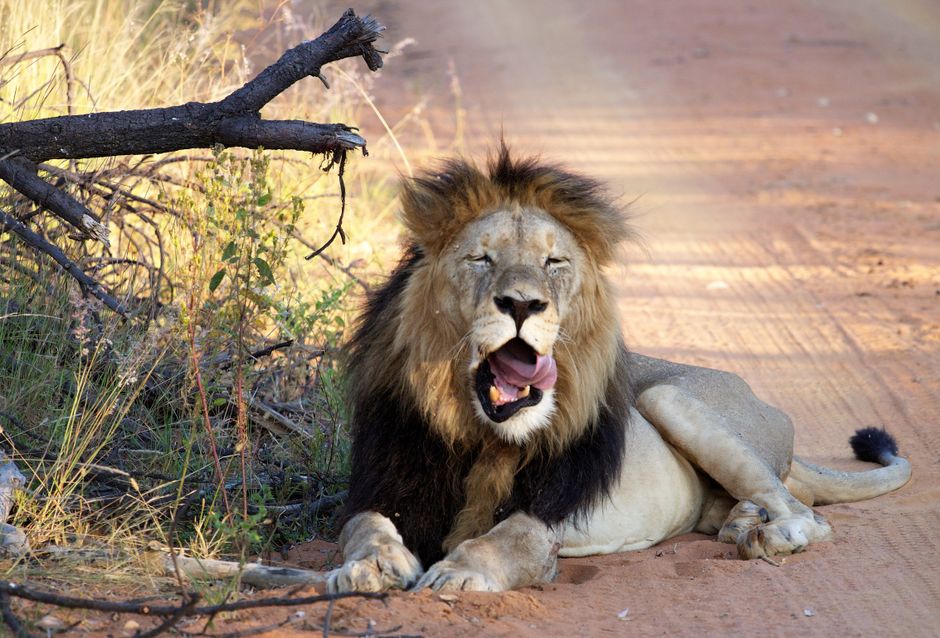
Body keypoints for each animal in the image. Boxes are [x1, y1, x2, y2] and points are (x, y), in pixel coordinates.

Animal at [326, 146, 912, 593]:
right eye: (480, 259)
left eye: (554, 263)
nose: (522, 304)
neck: (476, 431)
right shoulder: (384, 481)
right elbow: (363, 525)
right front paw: (370, 565)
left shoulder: (549, 514)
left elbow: (509, 537)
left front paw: (457, 573)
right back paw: (739, 522)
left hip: (666, 398)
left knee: (808, 514)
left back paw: (765, 535)